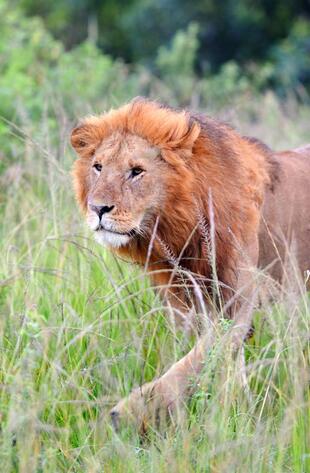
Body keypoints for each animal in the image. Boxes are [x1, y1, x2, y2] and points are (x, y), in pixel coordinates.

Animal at [70, 97, 310, 434]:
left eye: (136, 171)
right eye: (98, 167)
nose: (98, 208)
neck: (178, 228)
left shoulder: (237, 304)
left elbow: (195, 362)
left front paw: (126, 414)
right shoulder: (191, 303)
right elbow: (219, 362)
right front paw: (237, 410)